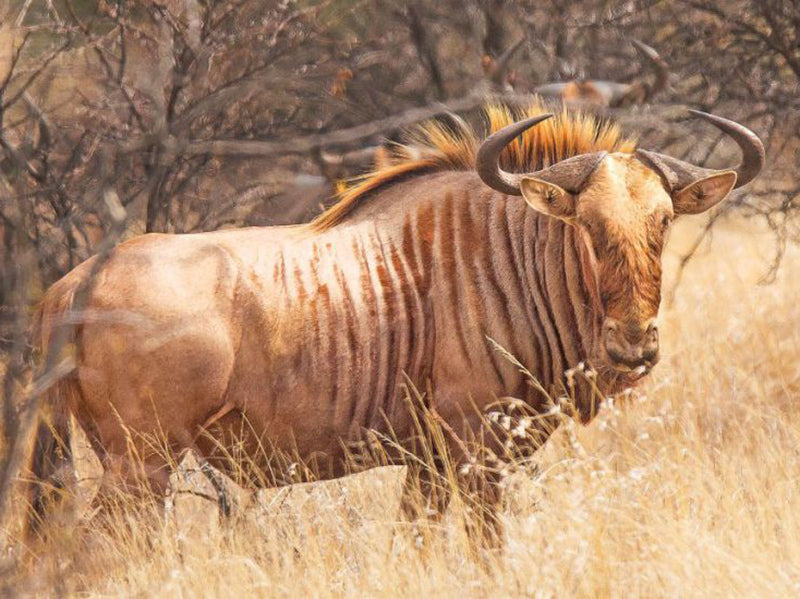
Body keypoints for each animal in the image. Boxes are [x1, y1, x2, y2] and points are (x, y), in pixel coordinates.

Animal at [30, 102, 763, 537]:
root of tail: (69, 287)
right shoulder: (476, 451)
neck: (504, 256)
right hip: (141, 465)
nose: (633, 345)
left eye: (663, 221)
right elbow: (484, 547)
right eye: (586, 224)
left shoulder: (429, 462)